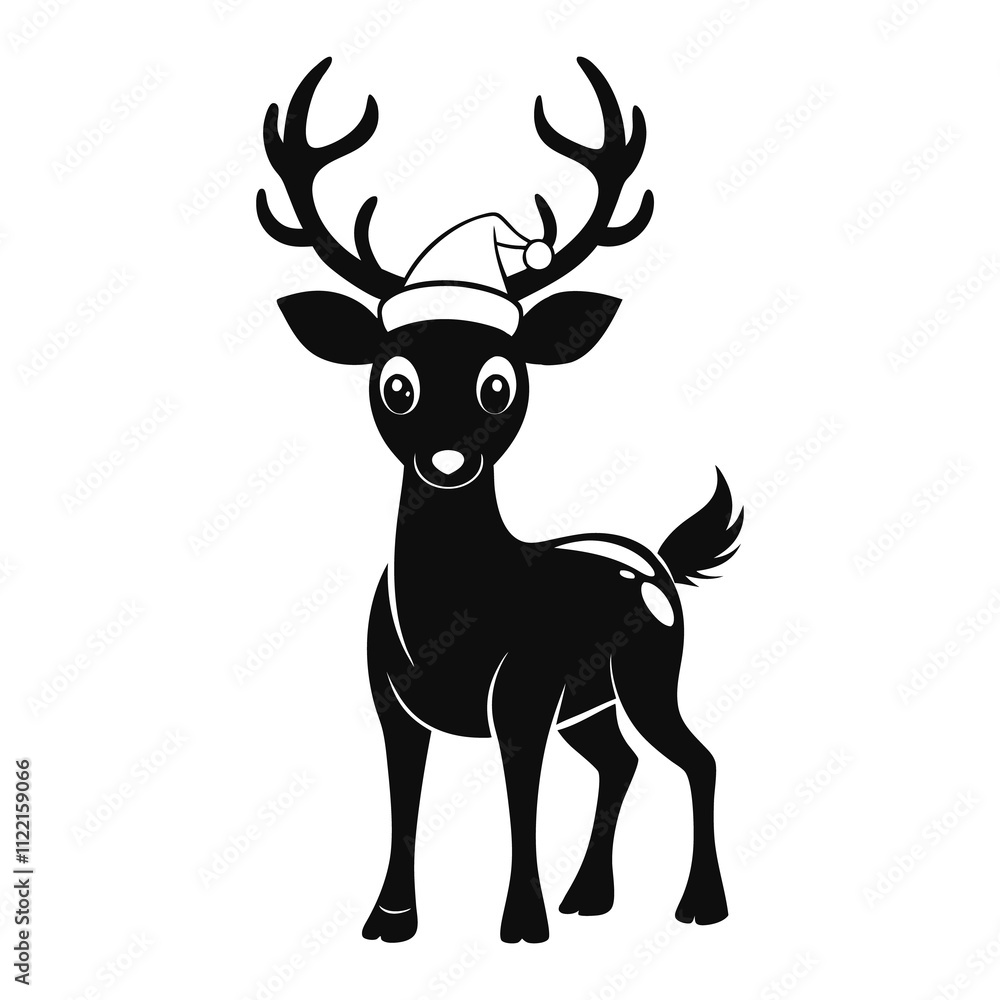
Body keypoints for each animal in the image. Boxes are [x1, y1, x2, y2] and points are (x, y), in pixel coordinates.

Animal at [257, 55, 743, 944]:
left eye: (499, 383)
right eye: (396, 382)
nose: (447, 459)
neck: (453, 619)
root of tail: (657, 562)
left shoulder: (523, 695)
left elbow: (522, 799)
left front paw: (523, 923)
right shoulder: (392, 706)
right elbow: (402, 806)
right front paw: (390, 920)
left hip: (650, 673)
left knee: (698, 757)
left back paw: (700, 905)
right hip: (592, 704)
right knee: (621, 761)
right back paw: (591, 896)